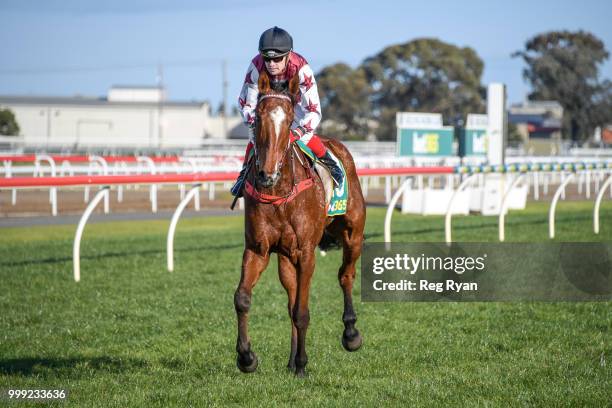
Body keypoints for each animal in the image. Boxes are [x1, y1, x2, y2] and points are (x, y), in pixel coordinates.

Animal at [234, 70, 366, 376]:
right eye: (258, 116)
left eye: (290, 117)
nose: (267, 174)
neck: (279, 192)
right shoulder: (258, 249)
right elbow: (243, 298)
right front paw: (246, 357)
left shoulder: (306, 252)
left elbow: (302, 312)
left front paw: (304, 365)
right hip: (285, 257)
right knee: (291, 298)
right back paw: (291, 358)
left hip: (353, 234)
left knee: (346, 275)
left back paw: (351, 334)